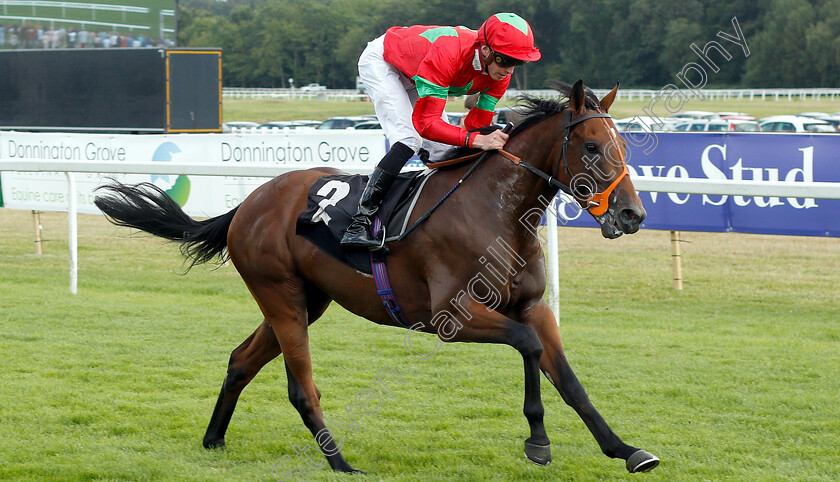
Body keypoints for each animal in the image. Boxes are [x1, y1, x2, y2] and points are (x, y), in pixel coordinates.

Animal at [95, 80, 660, 474]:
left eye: (624, 146)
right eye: (591, 146)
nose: (632, 215)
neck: (496, 213)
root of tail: (247, 204)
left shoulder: (533, 306)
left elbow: (568, 379)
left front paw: (626, 449)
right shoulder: (450, 315)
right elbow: (528, 345)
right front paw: (538, 443)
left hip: (307, 299)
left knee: (241, 360)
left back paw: (214, 439)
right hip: (280, 294)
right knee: (300, 385)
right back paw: (341, 462)